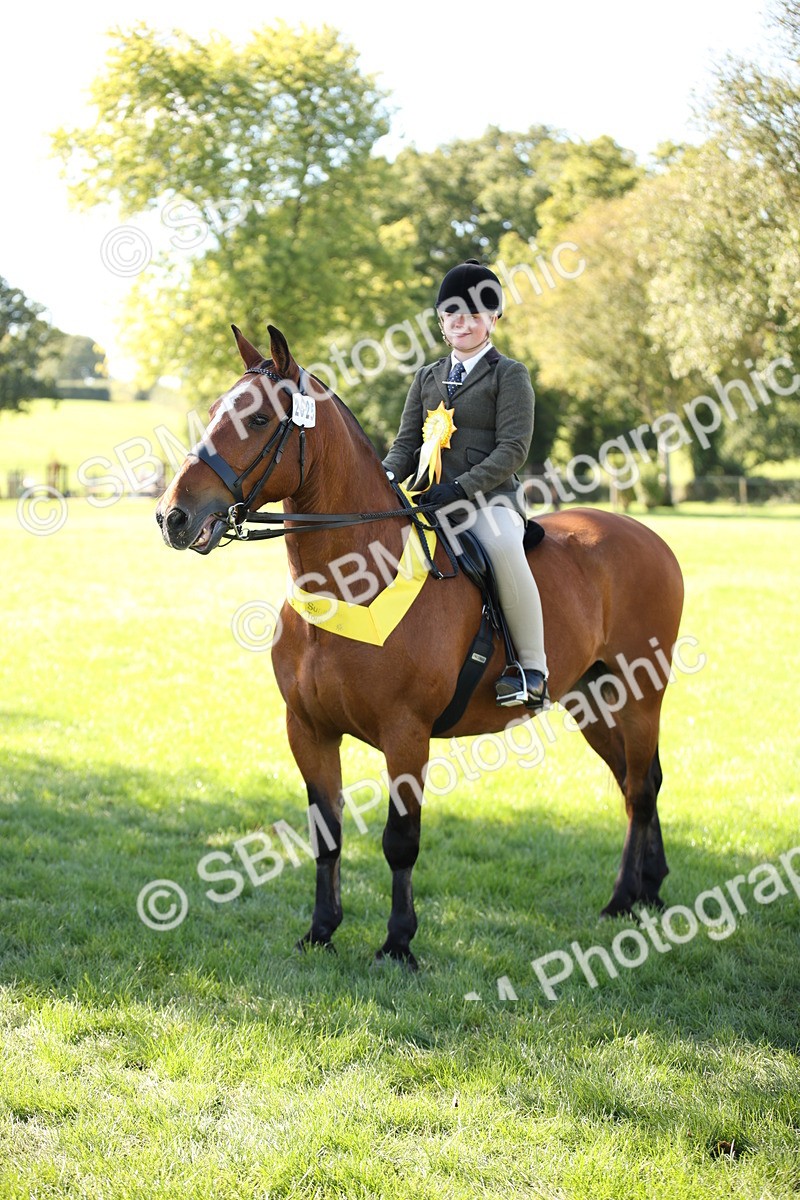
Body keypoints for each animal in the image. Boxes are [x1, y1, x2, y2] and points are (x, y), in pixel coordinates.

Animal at [156, 324, 685, 968]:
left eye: (257, 419)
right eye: (213, 410)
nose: (173, 517)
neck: (352, 579)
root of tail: (647, 536)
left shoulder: (405, 734)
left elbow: (400, 839)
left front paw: (398, 943)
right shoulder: (307, 729)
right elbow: (326, 833)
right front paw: (321, 931)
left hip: (640, 694)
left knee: (638, 787)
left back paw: (621, 899)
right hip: (593, 699)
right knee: (639, 783)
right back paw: (648, 890)